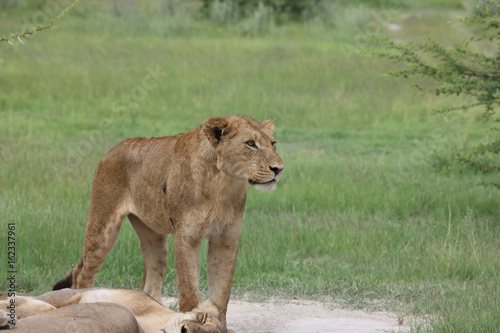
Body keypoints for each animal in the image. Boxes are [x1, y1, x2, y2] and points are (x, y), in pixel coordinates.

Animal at [53, 113, 286, 322]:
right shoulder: (186, 237)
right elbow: (189, 291)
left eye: (273, 143)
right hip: (103, 228)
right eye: (251, 144)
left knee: (149, 286)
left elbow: (221, 295)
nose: (278, 169)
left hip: (154, 238)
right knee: (82, 274)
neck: (222, 183)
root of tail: (111, 151)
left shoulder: (226, 240)